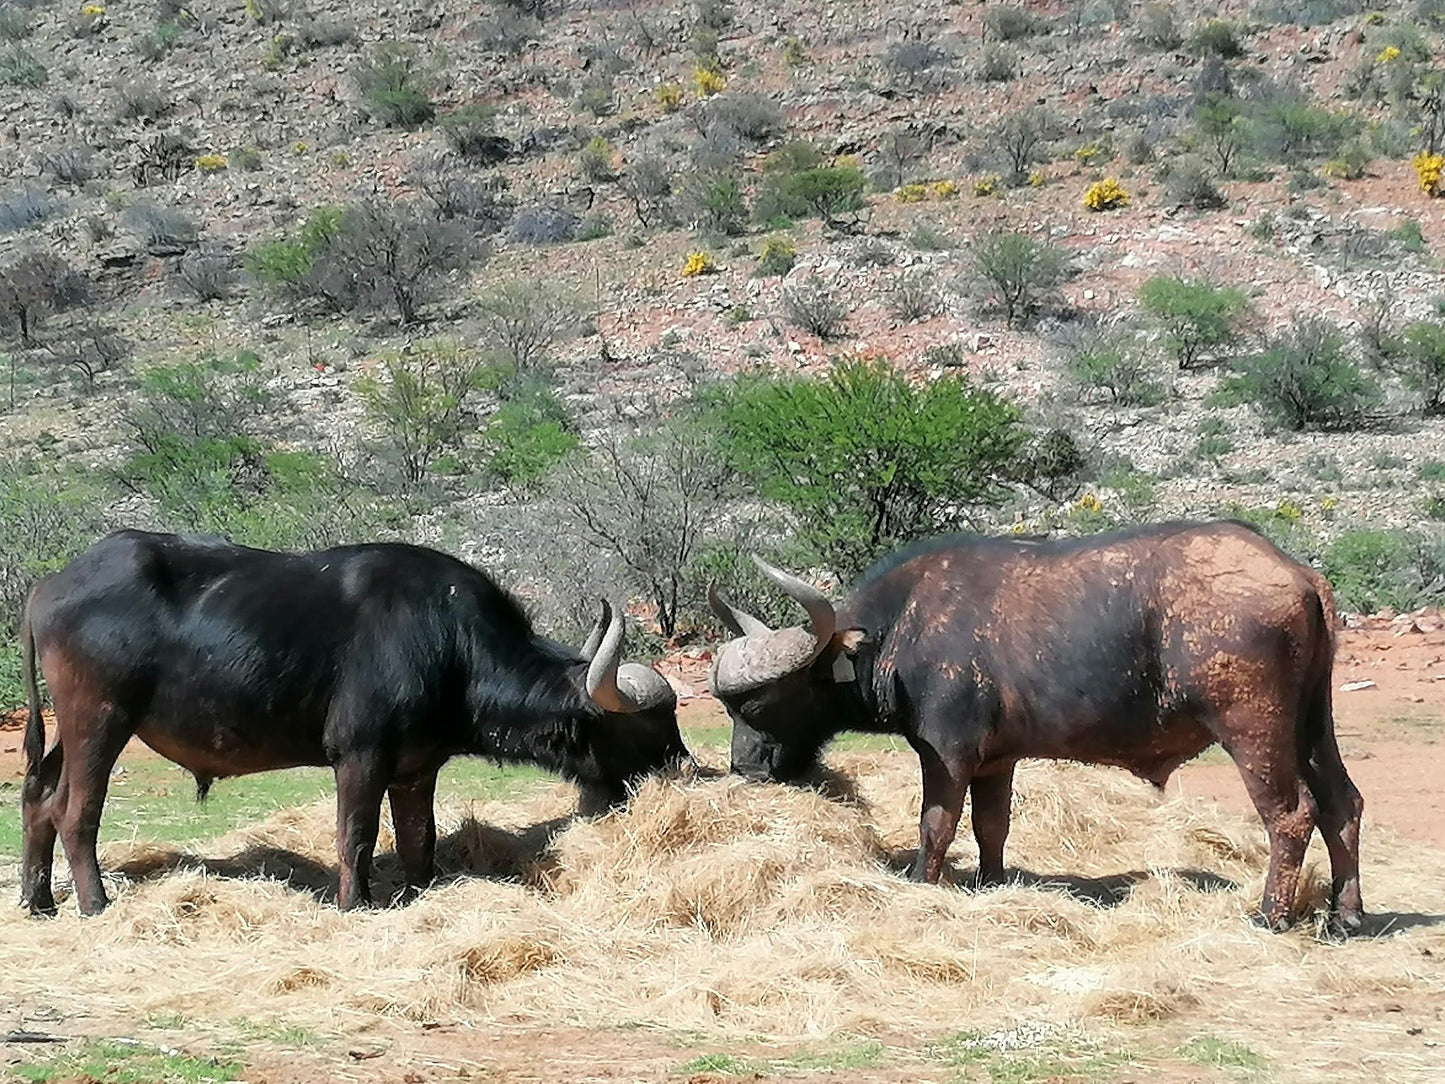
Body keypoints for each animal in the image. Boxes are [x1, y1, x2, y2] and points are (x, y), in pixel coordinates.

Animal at [19, 531, 687, 919]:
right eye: (648, 725)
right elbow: (356, 835)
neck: (448, 641)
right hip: (99, 720)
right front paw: (354, 903)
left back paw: (36, 899)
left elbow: (419, 840)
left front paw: (419, 893)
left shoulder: (417, 769)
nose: (684, 765)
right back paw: (94, 904)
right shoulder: (360, 757)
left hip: (67, 730)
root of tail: (49, 584)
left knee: (37, 797)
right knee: (74, 812)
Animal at [710, 523, 1364, 936]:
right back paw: (1345, 915)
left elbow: (936, 827)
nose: (745, 766)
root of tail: (1299, 575)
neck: (904, 626)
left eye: (760, 702)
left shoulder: (945, 756)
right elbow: (991, 827)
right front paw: (992, 884)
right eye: (729, 707)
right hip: (1313, 725)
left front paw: (924, 885)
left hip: (1255, 732)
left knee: (1291, 814)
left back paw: (1271, 915)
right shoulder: (997, 762)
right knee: (1342, 804)